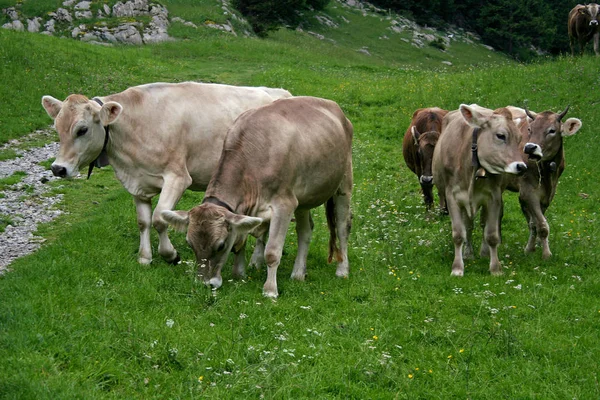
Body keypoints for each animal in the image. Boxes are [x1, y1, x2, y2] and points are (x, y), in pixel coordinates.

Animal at [41, 81, 290, 266]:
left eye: (82, 129)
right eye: (57, 129)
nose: (58, 168)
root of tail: (282, 92)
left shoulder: (177, 178)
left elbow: (159, 218)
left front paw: (170, 254)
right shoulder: (138, 183)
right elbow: (143, 221)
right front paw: (145, 257)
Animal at [162, 96, 354, 296]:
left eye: (221, 245)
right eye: (190, 244)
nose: (205, 284)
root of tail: (332, 105)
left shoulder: (284, 204)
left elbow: (272, 251)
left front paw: (270, 290)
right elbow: (240, 243)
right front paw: (239, 274)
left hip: (344, 182)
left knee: (343, 226)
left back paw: (342, 270)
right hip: (303, 199)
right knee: (305, 230)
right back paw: (298, 273)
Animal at [432, 104, 540, 276]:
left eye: (519, 138)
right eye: (501, 136)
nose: (521, 167)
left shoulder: (493, 197)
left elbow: (492, 235)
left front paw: (495, 268)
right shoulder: (452, 197)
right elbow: (458, 234)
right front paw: (457, 268)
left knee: (482, 223)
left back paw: (483, 252)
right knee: (468, 225)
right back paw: (468, 253)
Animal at [504, 104, 584, 260]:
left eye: (552, 130)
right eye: (530, 129)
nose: (529, 147)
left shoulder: (548, 194)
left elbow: (535, 222)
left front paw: (533, 247)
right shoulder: (528, 192)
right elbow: (541, 225)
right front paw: (545, 253)